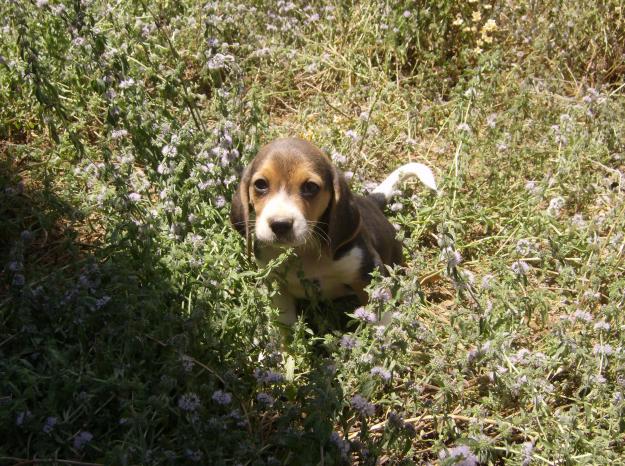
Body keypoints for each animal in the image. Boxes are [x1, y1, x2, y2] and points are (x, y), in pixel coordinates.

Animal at [227, 138, 436, 328]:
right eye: (260, 184)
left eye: (310, 187)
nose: (280, 224)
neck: (305, 251)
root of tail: (370, 201)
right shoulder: (278, 287)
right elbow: (285, 327)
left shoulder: (368, 271)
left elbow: (381, 314)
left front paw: (383, 339)